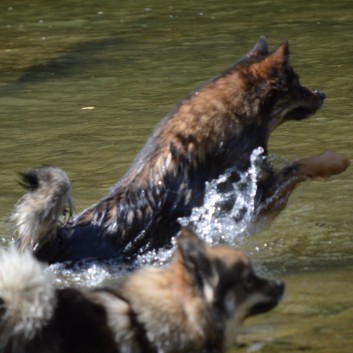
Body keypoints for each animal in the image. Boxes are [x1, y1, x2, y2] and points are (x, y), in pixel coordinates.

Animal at [13, 35, 346, 262]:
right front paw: (335, 160)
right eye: (297, 83)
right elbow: (300, 165)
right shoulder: (252, 199)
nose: (323, 94)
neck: (228, 124)